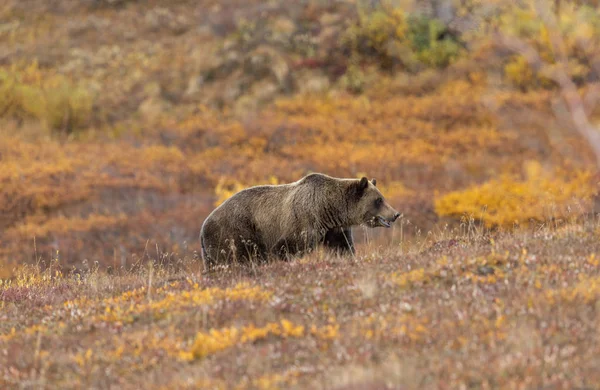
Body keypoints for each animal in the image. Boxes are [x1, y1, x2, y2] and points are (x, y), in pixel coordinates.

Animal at [199, 174, 400, 272]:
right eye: (379, 200)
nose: (395, 214)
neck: (328, 209)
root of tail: (202, 227)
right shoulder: (303, 222)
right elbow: (287, 247)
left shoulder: (333, 229)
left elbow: (342, 246)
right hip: (234, 233)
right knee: (235, 258)